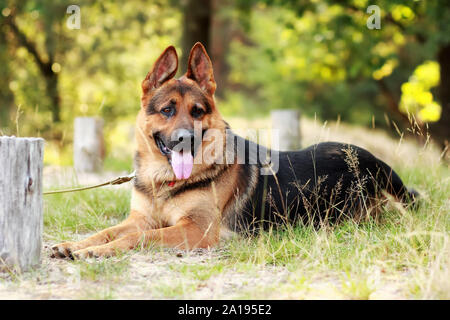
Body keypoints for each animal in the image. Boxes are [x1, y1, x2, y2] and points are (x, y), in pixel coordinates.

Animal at [51, 42, 416, 260]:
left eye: (197, 111)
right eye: (167, 110)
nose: (184, 138)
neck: (164, 181)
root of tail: (374, 159)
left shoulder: (195, 231)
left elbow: (136, 238)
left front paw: (96, 252)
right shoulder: (140, 219)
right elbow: (108, 231)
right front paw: (75, 245)